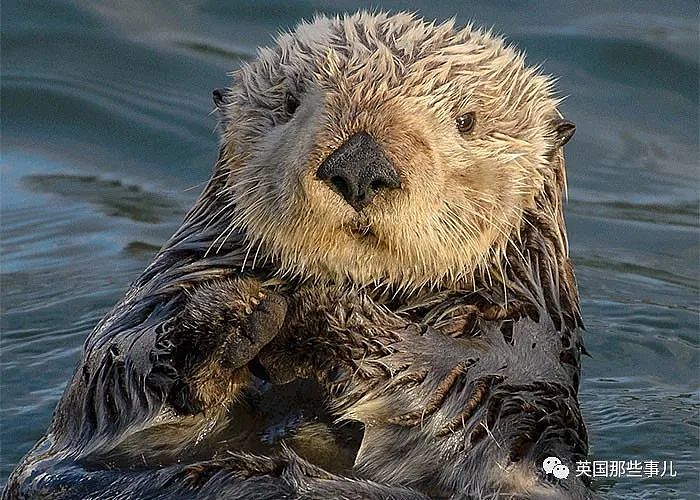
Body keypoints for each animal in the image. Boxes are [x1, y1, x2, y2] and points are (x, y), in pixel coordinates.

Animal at [5, 11, 592, 500]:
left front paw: (318, 316)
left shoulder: (519, 363)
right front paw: (230, 315)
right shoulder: (146, 314)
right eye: (289, 105)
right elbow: (111, 374)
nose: (359, 164)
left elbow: (462, 392)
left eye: (466, 121)